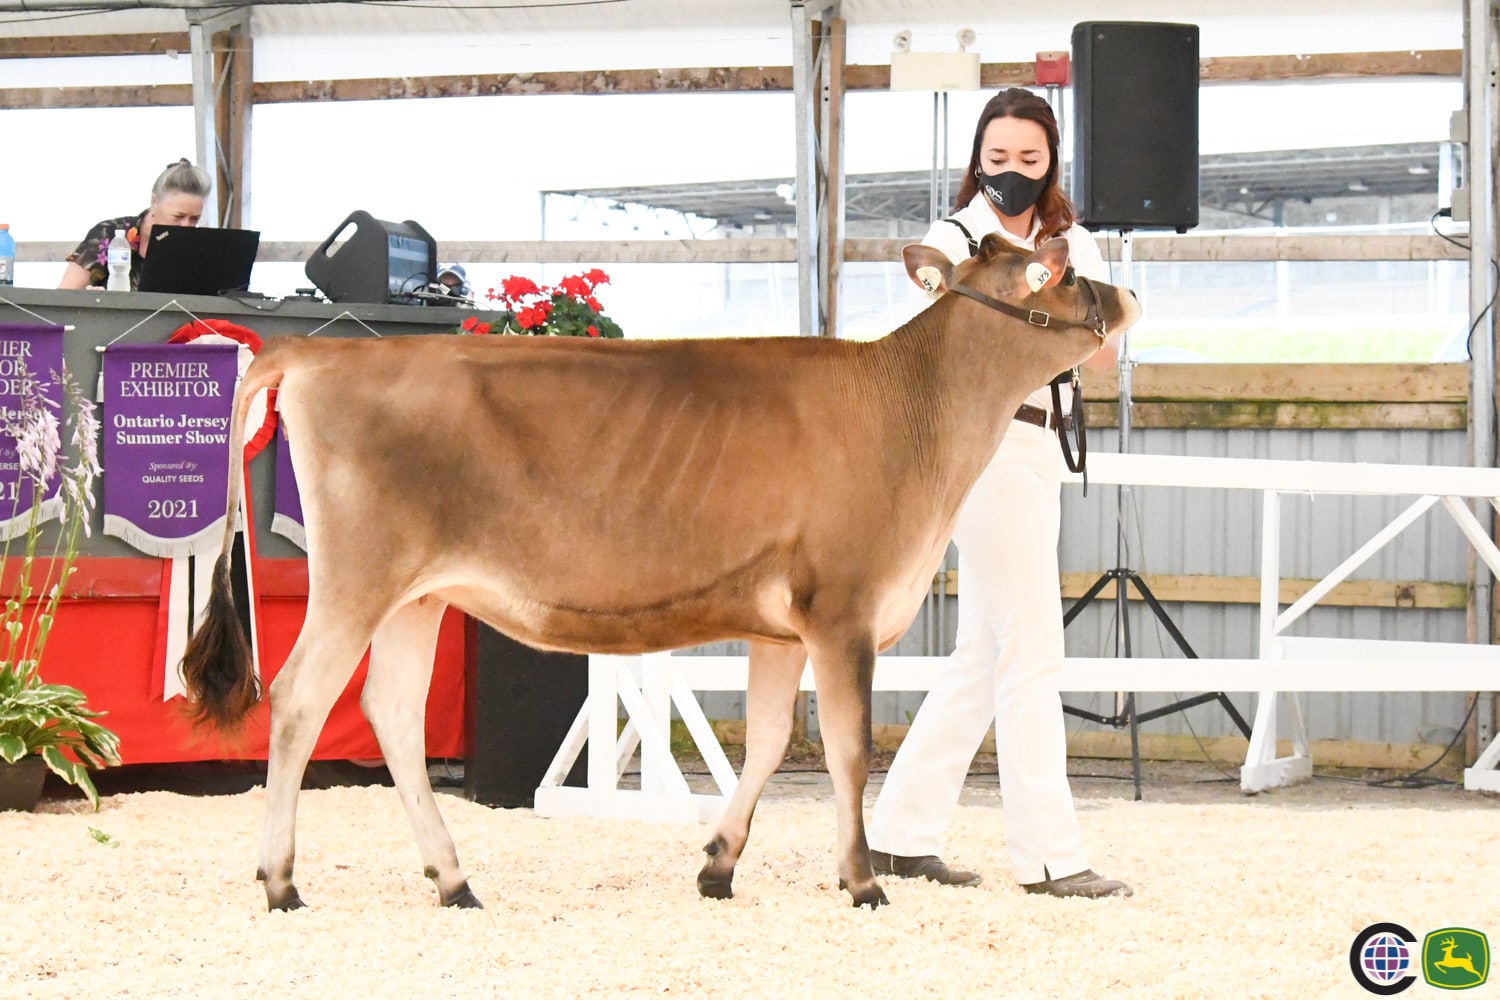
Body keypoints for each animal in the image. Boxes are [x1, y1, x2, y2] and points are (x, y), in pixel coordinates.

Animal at [181, 236, 1134, 917]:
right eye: (1051, 269)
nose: (1122, 293)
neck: (910, 408)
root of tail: (318, 355)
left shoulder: (780, 627)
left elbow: (770, 739)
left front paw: (719, 864)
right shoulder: (843, 609)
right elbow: (850, 748)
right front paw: (862, 881)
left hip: (420, 594)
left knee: (391, 711)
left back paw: (452, 879)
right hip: (358, 579)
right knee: (300, 699)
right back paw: (281, 881)